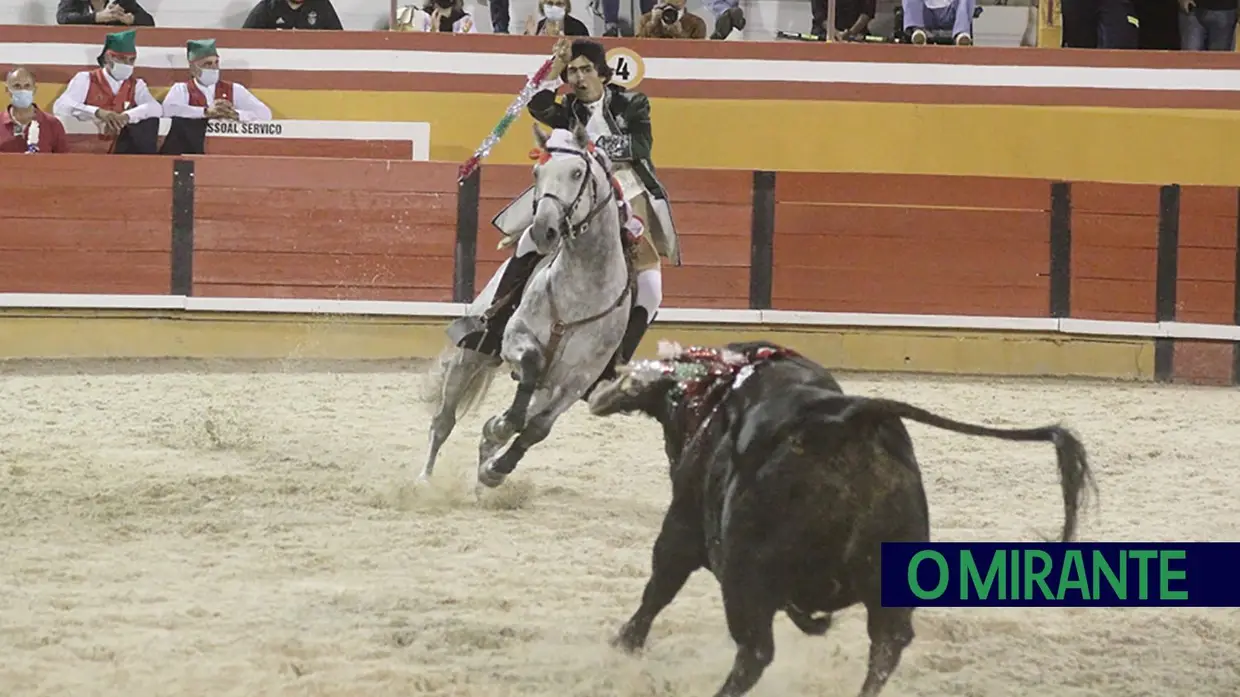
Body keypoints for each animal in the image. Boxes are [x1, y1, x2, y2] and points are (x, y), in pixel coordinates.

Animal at [416, 124, 629, 491]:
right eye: (536, 172)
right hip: (471, 354)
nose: (543, 231)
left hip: (548, 384)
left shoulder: (578, 379)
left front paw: (496, 468)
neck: (583, 287)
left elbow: (537, 428)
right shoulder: (516, 338)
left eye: (577, 172)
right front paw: (501, 425)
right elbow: (528, 365)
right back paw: (424, 480)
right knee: (444, 419)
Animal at [587, 339, 1096, 694]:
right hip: (889, 577)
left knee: (755, 650)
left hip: (744, 576)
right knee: (887, 644)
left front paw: (623, 643)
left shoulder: (684, 525)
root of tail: (849, 415)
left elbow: (659, 585)